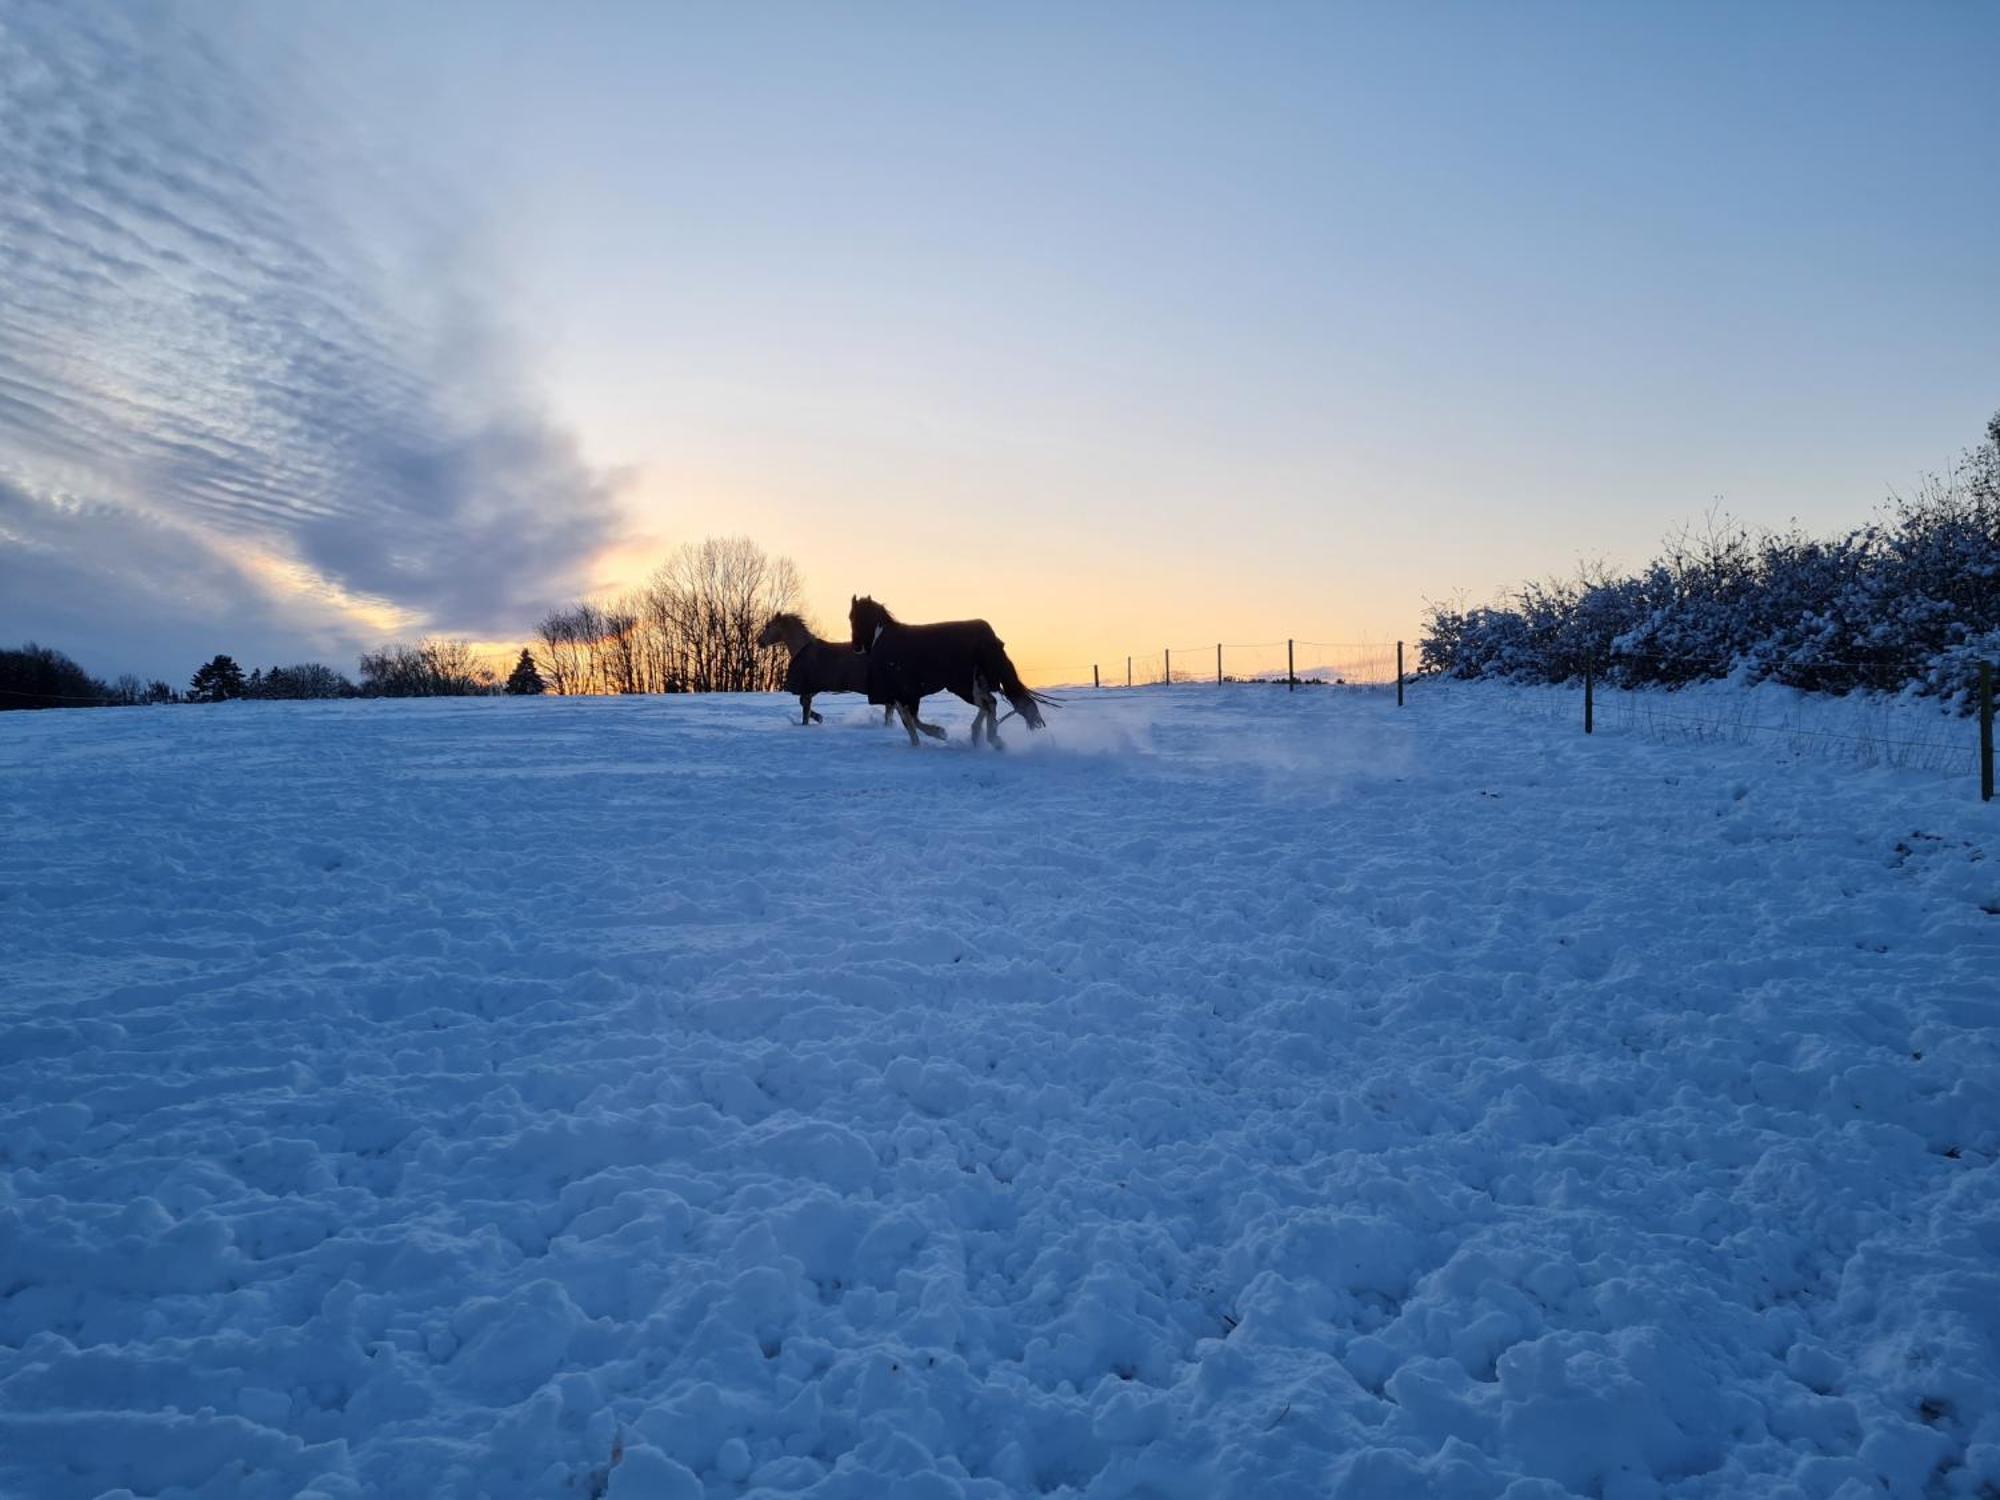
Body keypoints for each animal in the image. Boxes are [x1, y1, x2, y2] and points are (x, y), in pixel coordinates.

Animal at [756, 612, 900, 728]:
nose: (759, 641)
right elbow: (803, 704)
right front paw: (818, 718)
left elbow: (804, 706)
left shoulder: (810, 688)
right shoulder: (814, 688)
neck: (804, 649)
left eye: (768, 626)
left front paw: (815, 720)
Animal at [848, 592, 1056, 748]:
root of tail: (987, 636)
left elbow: (913, 720)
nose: (856, 647)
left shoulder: (906, 692)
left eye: (856, 618)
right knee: (989, 703)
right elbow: (908, 722)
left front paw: (940, 733)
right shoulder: (898, 695)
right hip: (974, 682)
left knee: (988, 704)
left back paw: (991, 739)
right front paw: (917, 743)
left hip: (964, 684)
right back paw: (980, 736)